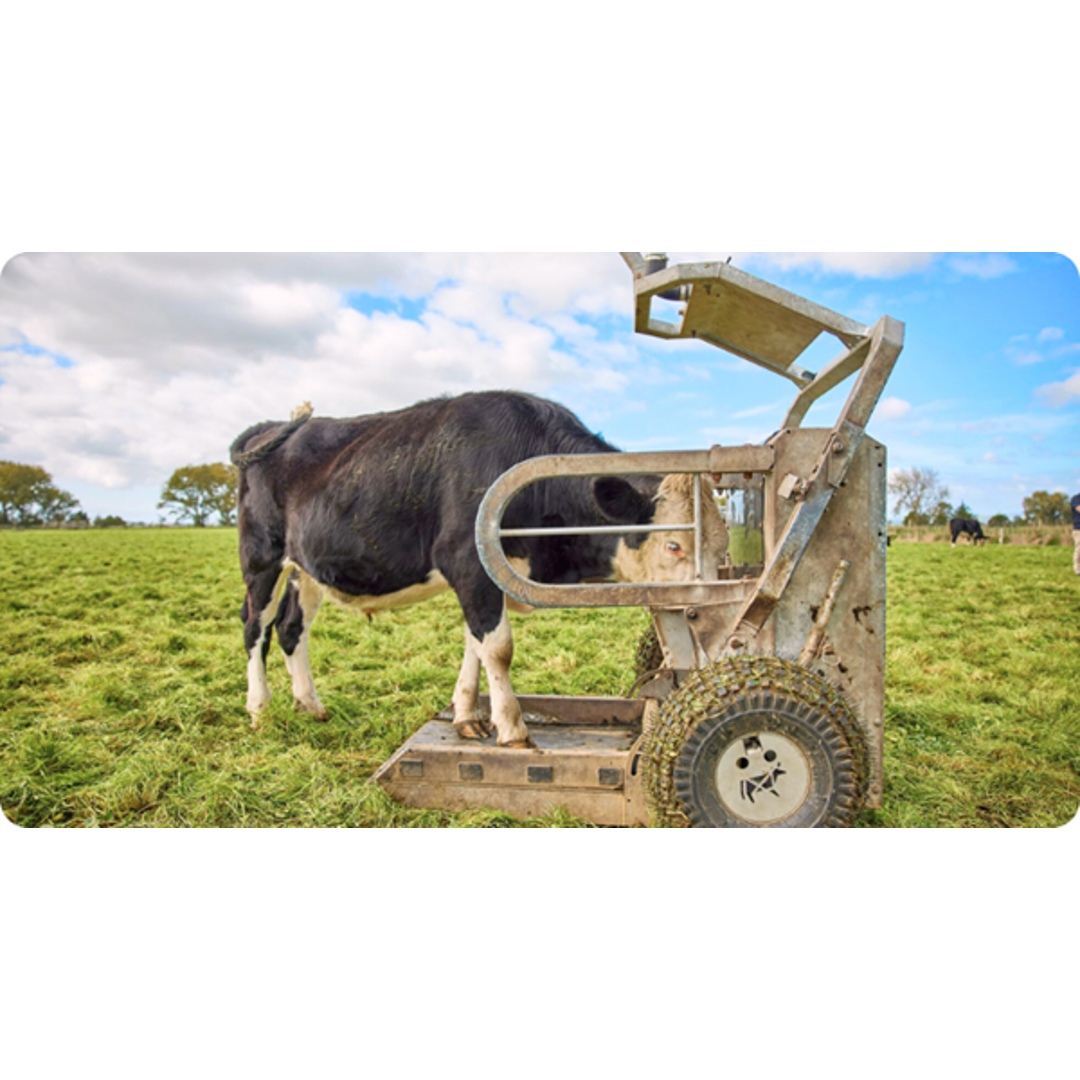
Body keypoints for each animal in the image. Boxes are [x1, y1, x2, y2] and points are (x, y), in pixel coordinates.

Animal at [230, 391, 728, 748]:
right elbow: (498, 649)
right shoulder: (469, 565)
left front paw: (467, 717)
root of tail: (270, 428)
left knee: (291, 628)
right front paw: (513, 730)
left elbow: (475, 644)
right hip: (261, 558)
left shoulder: (489, 578)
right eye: (674, 544)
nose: (709, 617)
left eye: (721, 543)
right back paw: (259, 711)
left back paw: (310, 706)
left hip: (305, 569)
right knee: (254, 628)